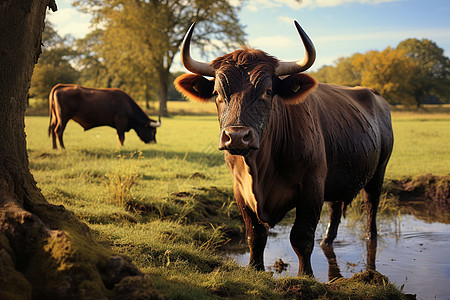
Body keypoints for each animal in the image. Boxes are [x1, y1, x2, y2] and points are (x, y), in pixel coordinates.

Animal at [174, 19, 392, 276]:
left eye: (268, 91)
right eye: (217, 92)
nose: (236, 137)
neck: (259, 171)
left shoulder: (312, 187)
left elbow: (301, 238)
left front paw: (305, 275)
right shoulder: (240, 191)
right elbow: (255, 236)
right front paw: (255, 269)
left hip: (378, 171)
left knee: (371, 207)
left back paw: (370, 239)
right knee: (335, 209)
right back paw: (327, 241)